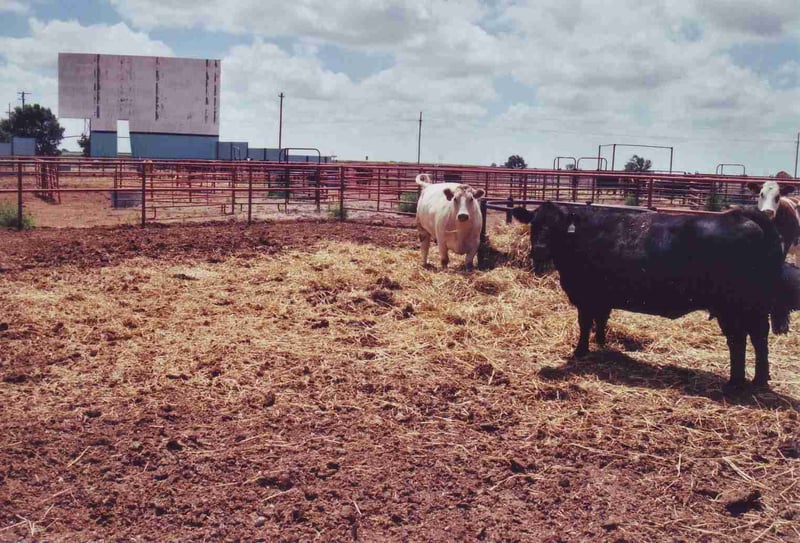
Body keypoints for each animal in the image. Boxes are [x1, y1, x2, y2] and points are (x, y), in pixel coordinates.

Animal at [512, 201, 794, 390]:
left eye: (558, 228)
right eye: (534, 224)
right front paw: (601, 343)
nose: (539, 250)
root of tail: (739, 215)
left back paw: (735, 383)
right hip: (752, 307)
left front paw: (580, 351)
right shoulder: (602, 296)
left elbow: (584, 324)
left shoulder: (585, 295)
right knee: (758, 338)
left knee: (740, 340)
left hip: (734, 306)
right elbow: (601, 320)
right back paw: (759, 380)